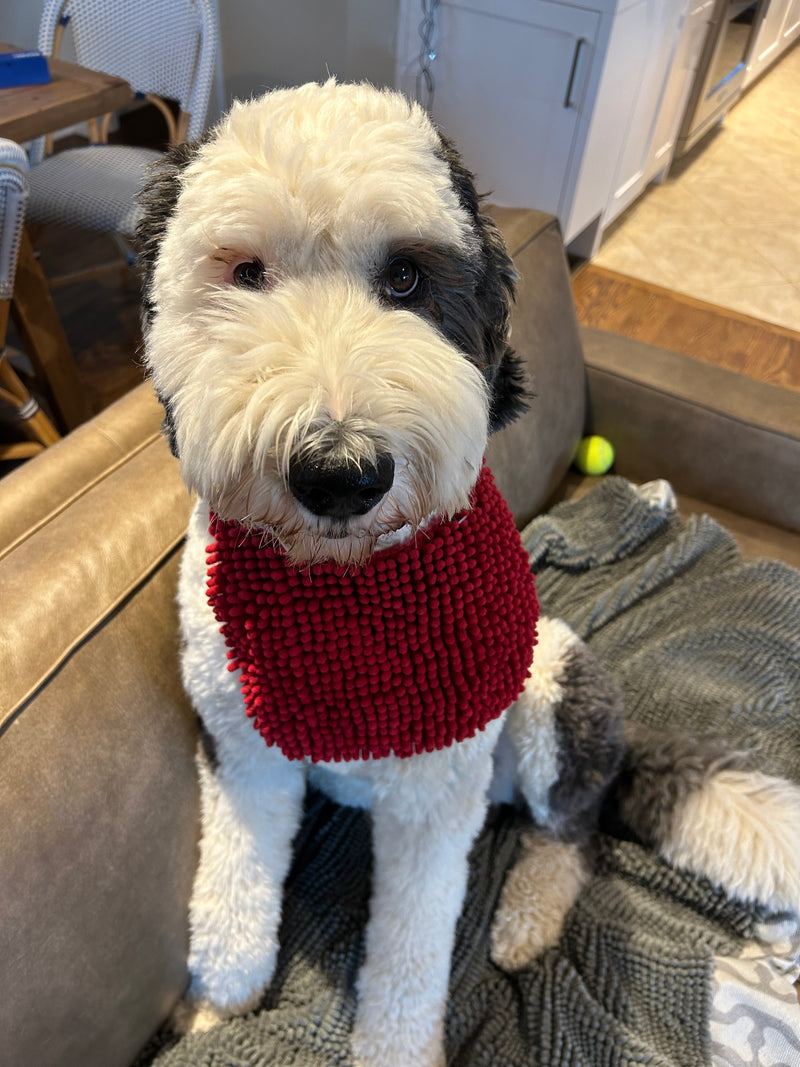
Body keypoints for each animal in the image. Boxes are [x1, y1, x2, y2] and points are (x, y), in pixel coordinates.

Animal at [140, 78, 800, 1062]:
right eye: (246, 273)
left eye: (407, 278)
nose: (340, 472)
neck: (345, 583)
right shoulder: (243, 746)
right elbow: (232, 882)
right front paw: (225, 995)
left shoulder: (433, 789)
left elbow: (413, 943)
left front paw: (393, 1045)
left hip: (548, 687)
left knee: (573, 828)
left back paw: (526, 919)